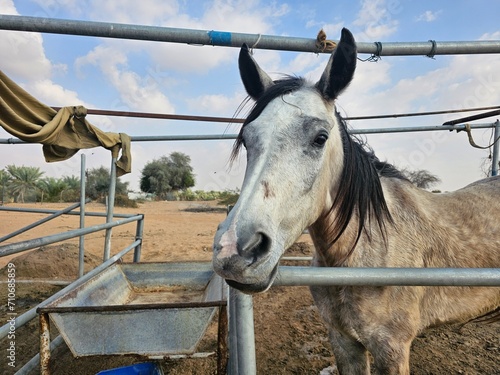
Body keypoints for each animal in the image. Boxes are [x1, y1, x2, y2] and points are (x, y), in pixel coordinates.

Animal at [212, 27, 500, 374]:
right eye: (246, 139)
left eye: (320, 138)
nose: (234, 251)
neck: (359, 255)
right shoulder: (342, 340)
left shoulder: (392, 348)